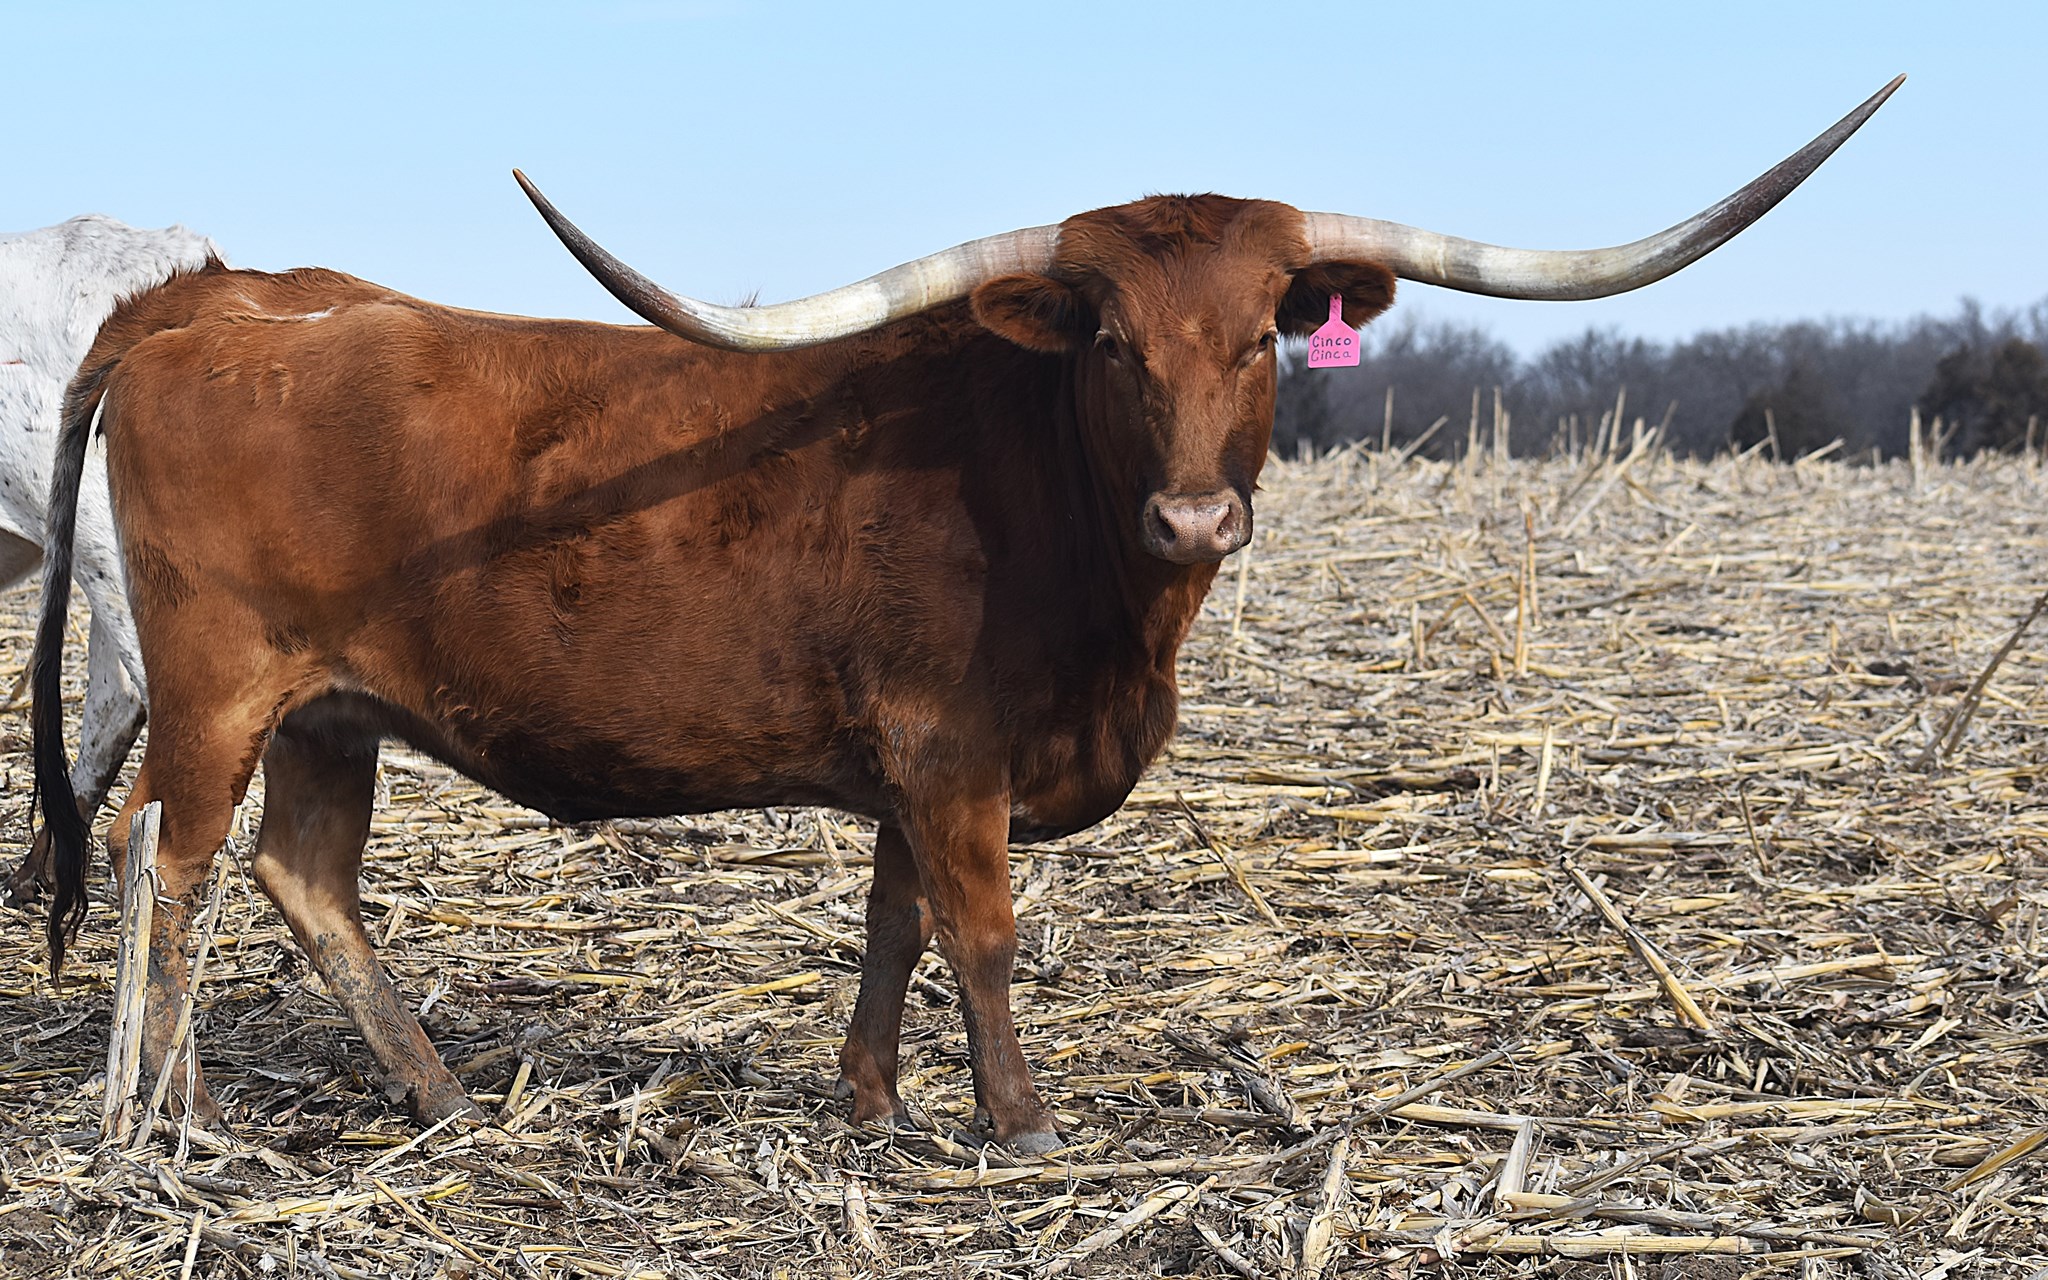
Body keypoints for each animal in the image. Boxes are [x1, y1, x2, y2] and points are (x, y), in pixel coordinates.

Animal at [33, 78, 1899, 1152]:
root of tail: (210, 299)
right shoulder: (952, 757)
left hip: (333, 710)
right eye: (1111, 340)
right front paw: (1015, 1122)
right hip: (218, 686)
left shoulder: (905, 770)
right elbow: (982, 933)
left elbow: (893, 928)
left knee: (299, 878)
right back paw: (163, 1122)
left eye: (1262, 336)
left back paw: (430, 1098)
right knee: (165, 862)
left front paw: (872, 1103)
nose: (1197, 511)